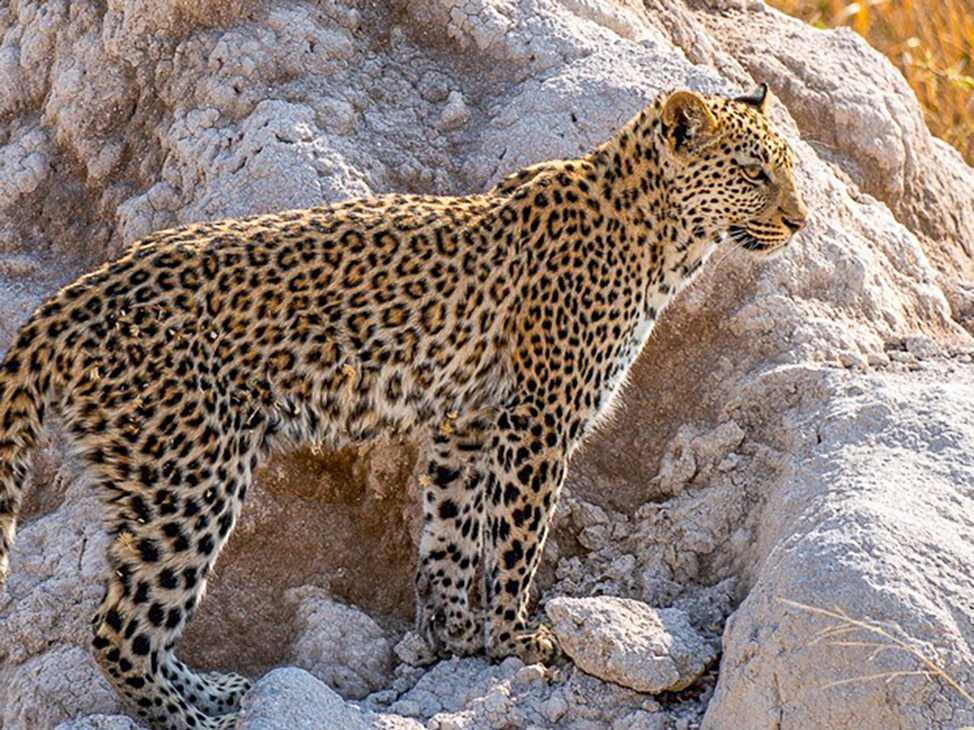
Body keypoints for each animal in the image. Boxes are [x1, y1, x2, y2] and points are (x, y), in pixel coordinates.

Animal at [0, 84, 807, 729]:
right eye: (753, 172)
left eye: (791, 171)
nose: (801, 221)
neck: (663, 240)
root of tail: (70, 298)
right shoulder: (539, 419)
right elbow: (517, 536)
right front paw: (515, 636)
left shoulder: (469, 419)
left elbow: (451, 530)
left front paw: (456, 633)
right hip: (189, 473)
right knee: (120, 627)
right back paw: (196, 718)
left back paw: (219, 692)